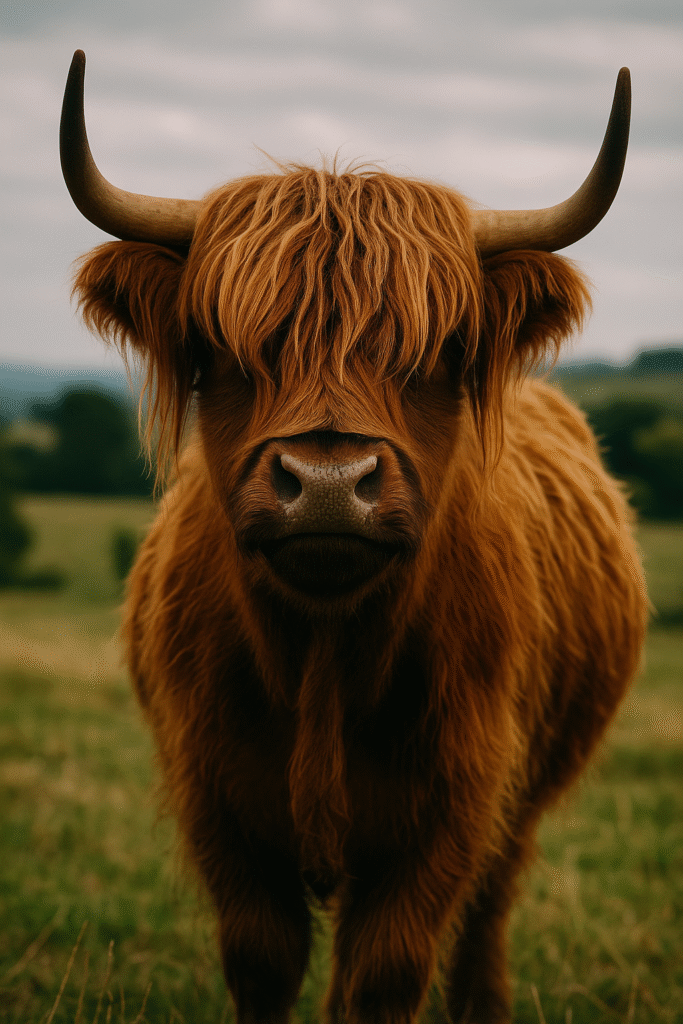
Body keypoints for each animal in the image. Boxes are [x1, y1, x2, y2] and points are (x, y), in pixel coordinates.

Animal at [60, 51, 647, 1024]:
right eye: (222, 347)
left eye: (440, 350)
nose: (329, 486)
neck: (325, 660)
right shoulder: (220, 809)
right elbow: (264, 963)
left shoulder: (450, 815)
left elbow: (382, 975)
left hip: (517, 810)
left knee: (489, 913)